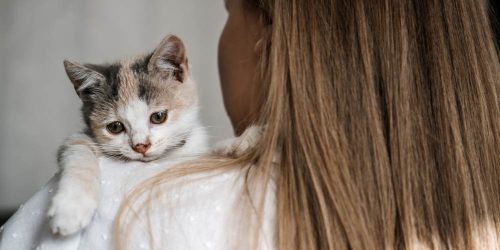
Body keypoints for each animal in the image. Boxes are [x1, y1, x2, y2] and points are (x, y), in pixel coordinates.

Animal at [47, 34, 209, 235]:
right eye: (115, 127)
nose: (141, 146)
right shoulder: (79, 139)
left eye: (158, 117)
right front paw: (71, 207)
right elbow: (77, 148)